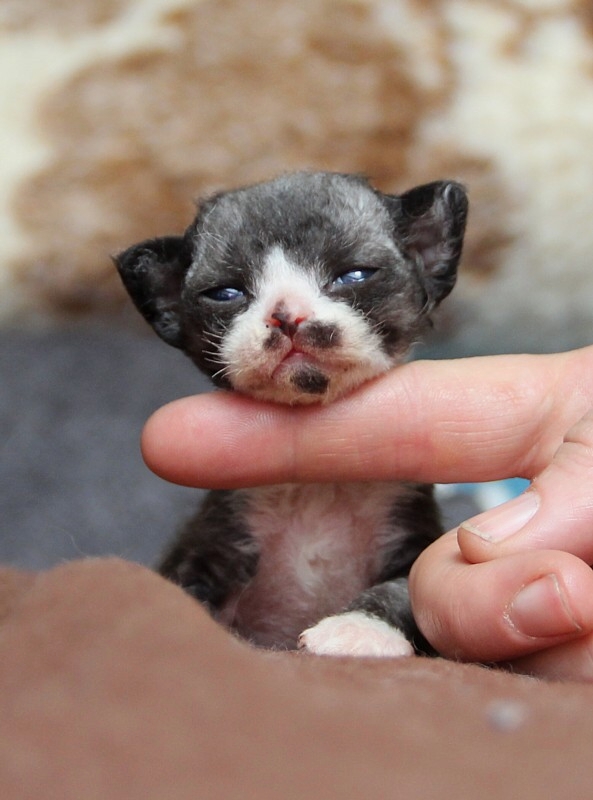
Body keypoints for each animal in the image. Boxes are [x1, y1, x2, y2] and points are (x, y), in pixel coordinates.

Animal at [114, 172, 468, 660]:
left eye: (354, 274)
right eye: (225, 293)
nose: (287, 315)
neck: (316, 490)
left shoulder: (413, 537)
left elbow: (403, 591)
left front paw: (358, 629)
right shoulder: (211, 544)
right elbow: (183, 588)